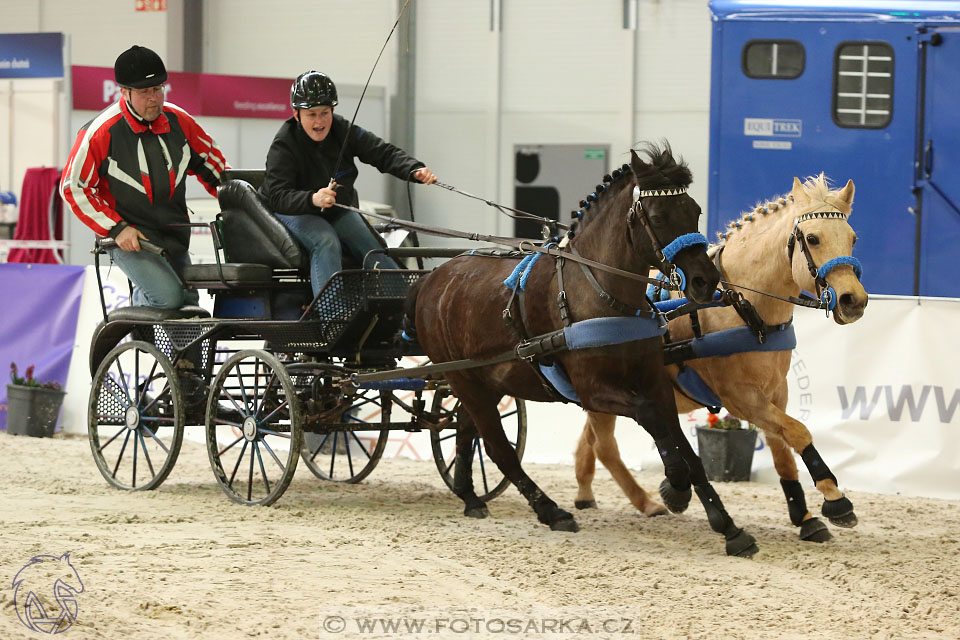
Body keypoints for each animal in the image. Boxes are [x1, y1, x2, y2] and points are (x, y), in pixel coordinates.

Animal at [412, 144, 764, 556]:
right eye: (658, 217)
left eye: (694, 210)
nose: (704, 281)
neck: (601, 294)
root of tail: (432, 279)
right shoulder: (593, 391)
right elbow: (651, 418)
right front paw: (674, 488)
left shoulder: (655, 381)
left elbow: (685, 448)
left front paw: (728, 528)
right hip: (464, 380)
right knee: (498, 449)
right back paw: (551, 511)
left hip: (489, 382)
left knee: (467, 431)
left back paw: (471, 497)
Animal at [572, 174, 872, 540]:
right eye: (813, 238)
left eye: (853, 239)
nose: (853, 300)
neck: (743, 307)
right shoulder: (740, 398)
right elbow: (798, 432)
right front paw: (835, 498)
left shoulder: (777, 392)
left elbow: (782, 449)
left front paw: (804, 516)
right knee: (605, 445)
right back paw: (649, 500)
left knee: (590, 440)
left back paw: (589, 493)